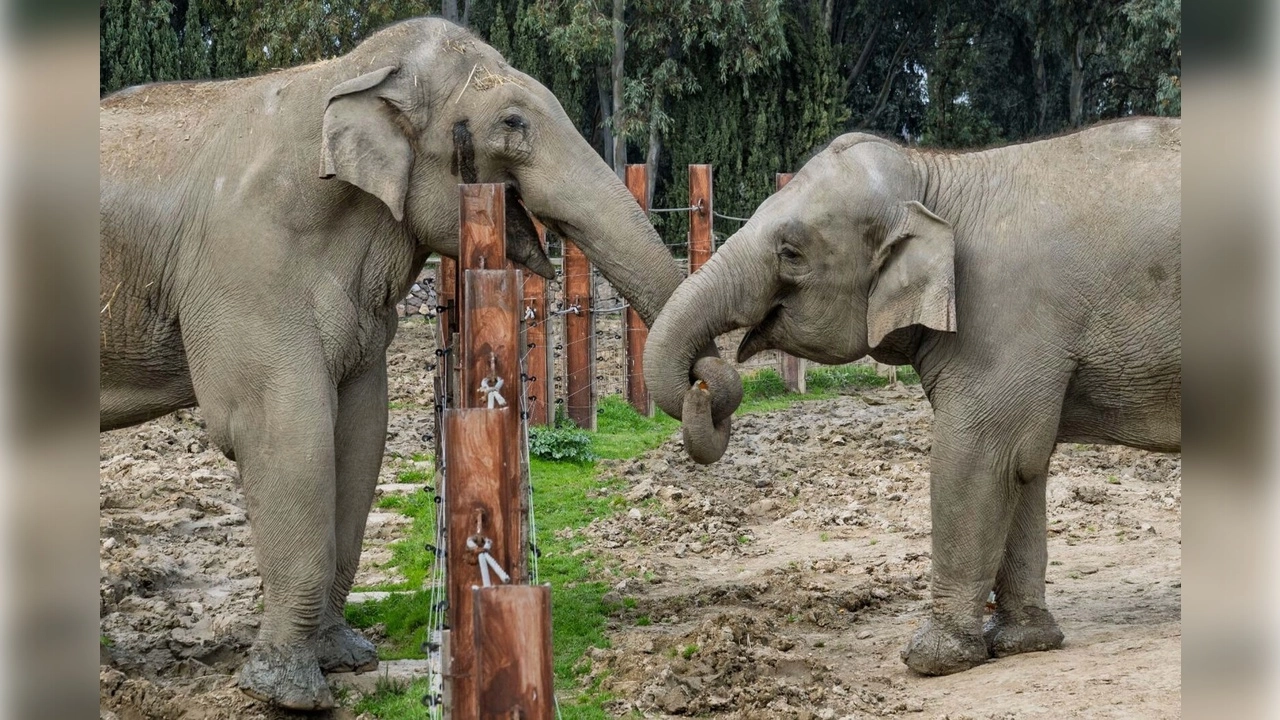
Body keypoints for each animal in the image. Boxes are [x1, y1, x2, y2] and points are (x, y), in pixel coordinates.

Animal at [98, 15, 732, 707]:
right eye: (513, 123)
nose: (709, 390)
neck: (348, 74)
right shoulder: (246, 268)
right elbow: (281, 430)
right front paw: (290, 694)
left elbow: (359, 430)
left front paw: (347, 658)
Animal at [645, 116, 1182, 671]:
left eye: (791, 254)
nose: (703, 382)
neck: (936, 175)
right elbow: (1025, 466)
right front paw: (1023, 643)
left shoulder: (1003, 319)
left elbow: (982, 456)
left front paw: (931, 659)